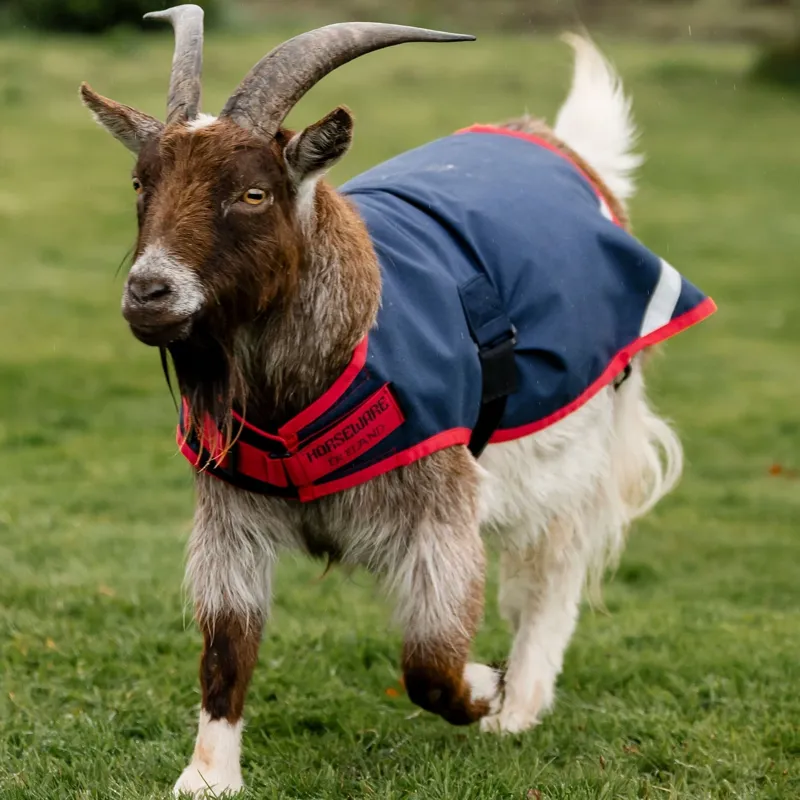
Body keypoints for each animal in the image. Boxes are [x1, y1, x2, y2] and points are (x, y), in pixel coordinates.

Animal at [81, 6, 716, 796]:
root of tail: (569, 152)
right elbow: (227, 642)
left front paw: (487, 688)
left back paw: (521, 704)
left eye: (254, 193)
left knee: (552, 571)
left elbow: (431, 659)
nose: (150, 292)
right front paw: (207, 776)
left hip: (579, 438)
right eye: (141, 182)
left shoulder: (440, 502)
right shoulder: (231, 513)